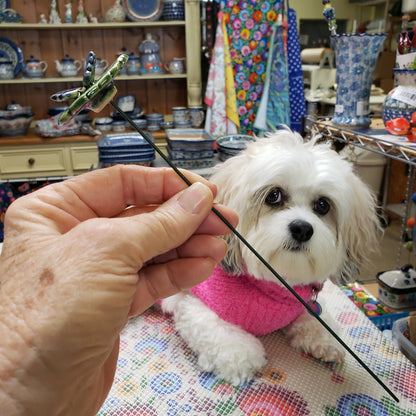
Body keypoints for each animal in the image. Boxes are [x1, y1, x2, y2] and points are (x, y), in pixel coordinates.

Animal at [162, 132, 380, 386]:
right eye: (274, 195)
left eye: (323, 205)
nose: (302, 228)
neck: (272, 286)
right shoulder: (195, 302)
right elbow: (220, 332)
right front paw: (240, 355)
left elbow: (317, 316)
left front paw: (324, 339)